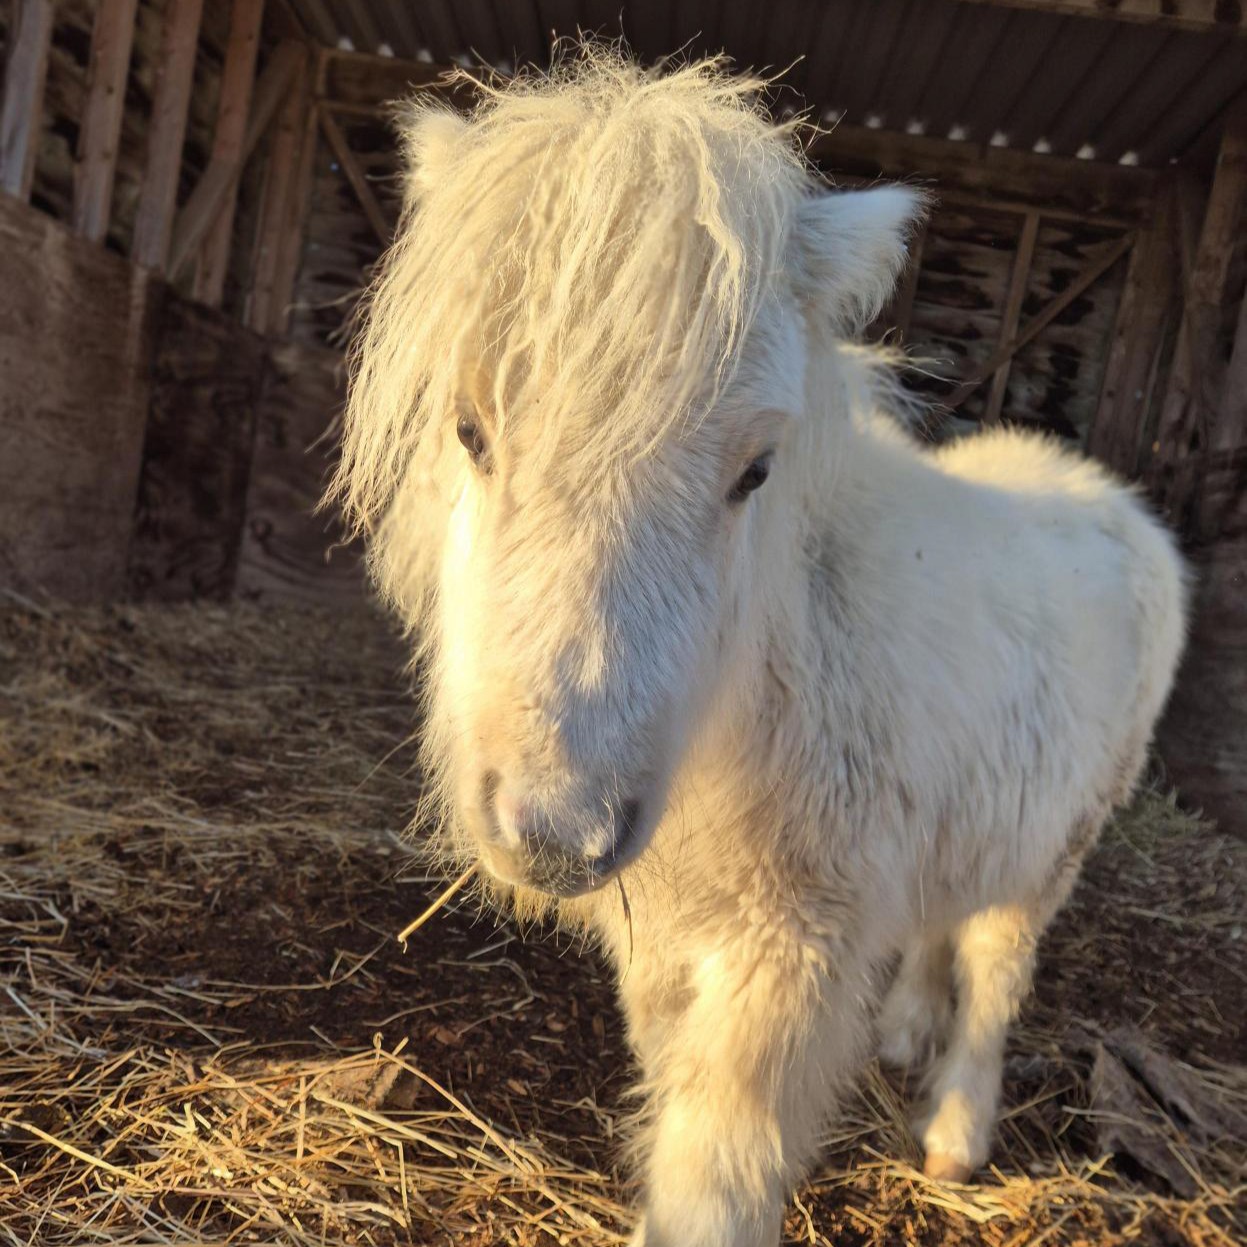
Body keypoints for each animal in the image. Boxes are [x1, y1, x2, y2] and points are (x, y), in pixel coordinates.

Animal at [332, 51, 1188, 1247]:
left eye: (755, 469)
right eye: (468, 429)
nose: (554, 832)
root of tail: (1108, 498)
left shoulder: (793, 948)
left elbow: (717, 1167)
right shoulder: (659, 928)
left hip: (1060, 837)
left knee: (995, 963)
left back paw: (953, 1135)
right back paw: (901, 1034)